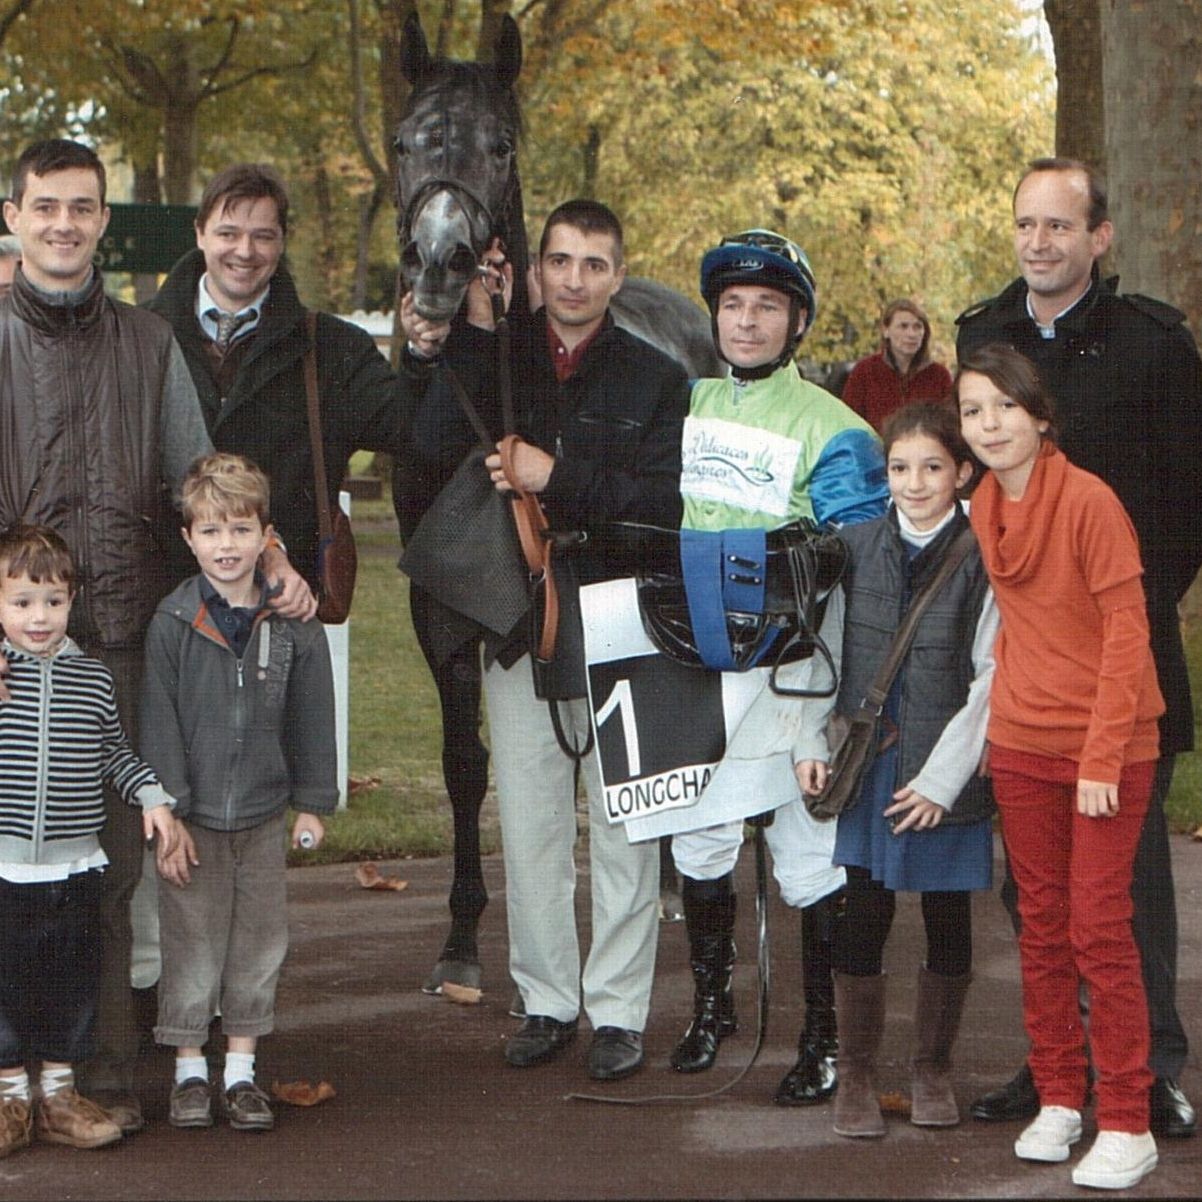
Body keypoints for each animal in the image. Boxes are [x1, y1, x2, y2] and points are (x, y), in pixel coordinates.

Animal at [394, 13, 709, 996]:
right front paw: (461, 939)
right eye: (403, 140)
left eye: (500, 144)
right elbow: (465, 764)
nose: (442, 263)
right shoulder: (438, 606)